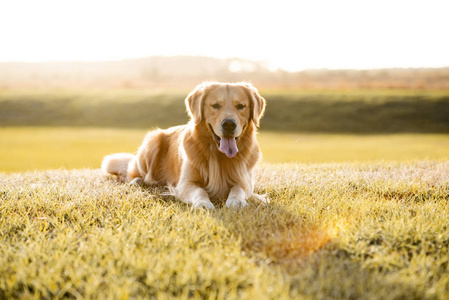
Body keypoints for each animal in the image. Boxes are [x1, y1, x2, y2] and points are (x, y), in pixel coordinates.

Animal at [101, 82, 266, 209]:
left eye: (241, 106)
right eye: (215, 105)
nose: (229, 124)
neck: (219, 156)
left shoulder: (245, 182)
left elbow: (238, 189)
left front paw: (237, 201)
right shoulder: (185, 183)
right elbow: (200, 191)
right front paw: (203, 204)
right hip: (151, 144)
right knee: (133, 175)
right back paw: (139, 182)